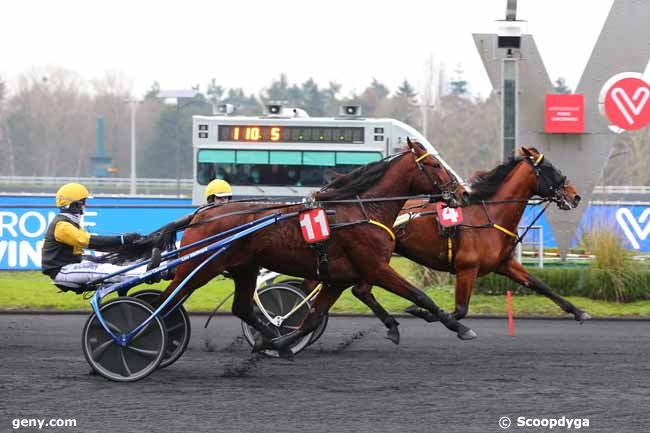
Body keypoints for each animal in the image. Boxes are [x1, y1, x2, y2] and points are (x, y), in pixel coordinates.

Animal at [159, 140, 468, 356]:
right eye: (435, 165)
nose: (462, 193)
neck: (361, 210)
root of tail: (201, 214)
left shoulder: (337, 279)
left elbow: (311, 319)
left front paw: (279, 344)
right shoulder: (377, 267)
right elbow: (419, 295)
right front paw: (459, 327)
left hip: (243, 268)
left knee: (242, 308)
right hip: (198, 268)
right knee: (167, 300)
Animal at [334, 147, 584, 342]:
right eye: (551, 169)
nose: (575, 196)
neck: (490, 215)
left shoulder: (504, 264)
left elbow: (541, 285)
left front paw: (579, 312)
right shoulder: (467, 269)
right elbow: (461, 310)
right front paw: (424, 313)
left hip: (375, 260)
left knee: (361, 290)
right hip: (375, 259)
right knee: (361, 289)